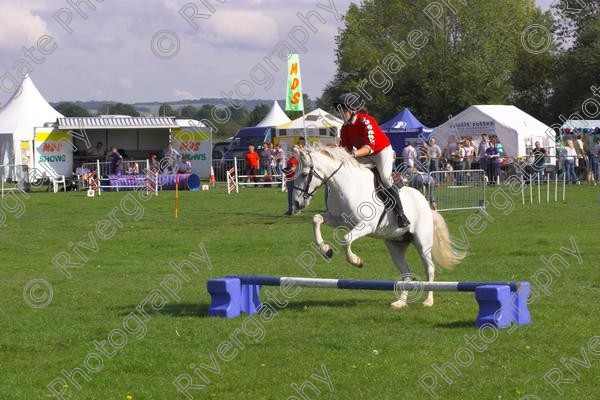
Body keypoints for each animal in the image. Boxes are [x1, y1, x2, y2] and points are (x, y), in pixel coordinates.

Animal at [290, 146, 464, 310]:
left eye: (304, 174)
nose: (297, 203)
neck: (347, 186)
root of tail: (426, 204)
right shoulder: (337, 220)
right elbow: (316, 219)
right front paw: (326, 250)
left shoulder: (366, 226)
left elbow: (346, 239)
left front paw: (356, 261)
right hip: (396, 245)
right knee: (406, 274)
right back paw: (400, 303)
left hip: (422, 243)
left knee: (430, 269)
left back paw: (428, 301)